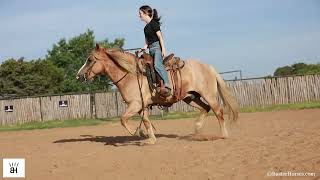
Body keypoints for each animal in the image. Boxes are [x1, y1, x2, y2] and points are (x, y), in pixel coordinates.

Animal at [76, 44, 239, 145]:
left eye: (89, 60)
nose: (78, 76)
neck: (131, 74)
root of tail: (209, 67)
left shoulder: (135, 105)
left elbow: (123, 119)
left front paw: (136, 132)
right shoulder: (142, 107)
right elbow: (146, 122)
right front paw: (150, 138)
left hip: (209, 95)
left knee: (218, 112)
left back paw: (223, 135)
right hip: (190, 97)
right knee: (205, 109)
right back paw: (197, 130)